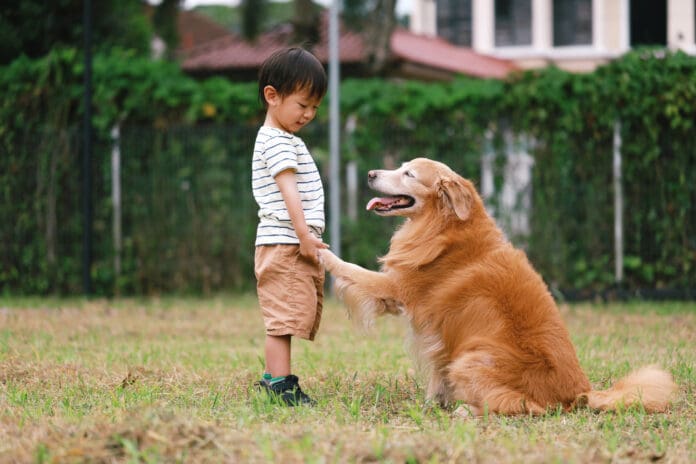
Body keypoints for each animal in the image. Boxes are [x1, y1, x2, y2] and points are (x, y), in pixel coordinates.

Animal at [322, 158, 680, 416]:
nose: (370, 174)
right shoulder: (434, 333)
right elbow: (437, 373)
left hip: (472, 359)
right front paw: (433, 403)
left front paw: (320, 250)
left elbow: (350, 268)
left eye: (408, 173)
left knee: (524, 407)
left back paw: (469, 410)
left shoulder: (397, 289)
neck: (445, 228)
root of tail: (580, 393)